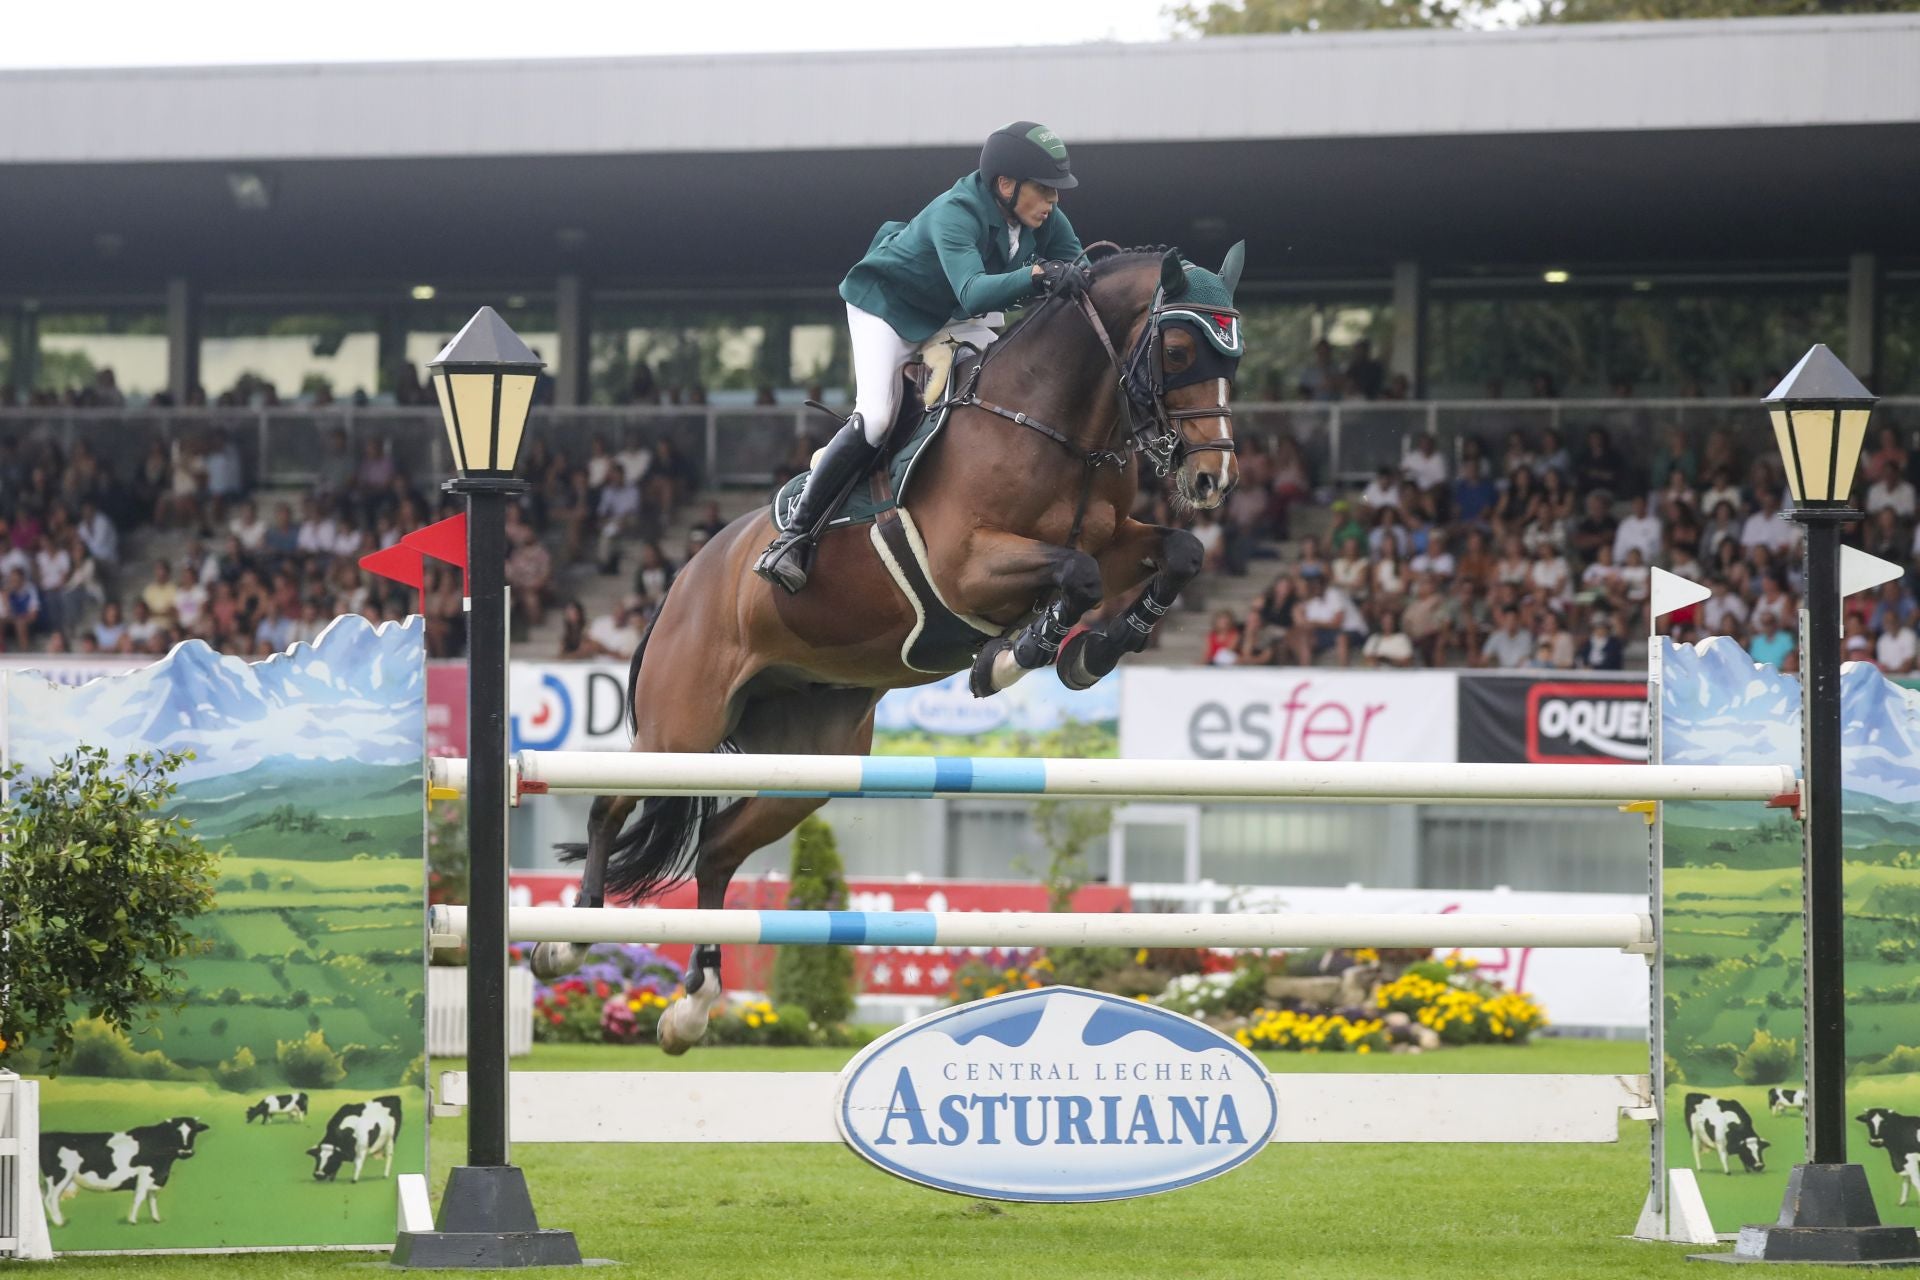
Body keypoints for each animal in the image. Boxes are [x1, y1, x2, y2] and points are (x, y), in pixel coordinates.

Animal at [40, 1113, 211, 1228]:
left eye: (194, 1132)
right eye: (175, 1132)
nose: (186, 1152)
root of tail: (47, 1135)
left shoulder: (155, 1178)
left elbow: (152, 1199)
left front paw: (156, 1219)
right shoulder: (144, 1175)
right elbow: (139, 1198)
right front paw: (132, 1220)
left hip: (48, 1179)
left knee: (43, 1196)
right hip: (60, 1176)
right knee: (51, 1198)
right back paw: (59, 1222)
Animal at [537, 239, 1244, 1051]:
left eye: (1234, 356)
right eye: (1180, 349)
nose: (1211, 478)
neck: (1054, 424)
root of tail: (684, 578)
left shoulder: (1118, 539)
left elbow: (1177, 552)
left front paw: (1089, 652)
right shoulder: (965, 566)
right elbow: (1078, 573)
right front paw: (1016, 655)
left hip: (808, 764)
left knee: (716, 846)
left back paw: (693, 1005)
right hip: (681, 729)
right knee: (608, 807)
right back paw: (567, 940)